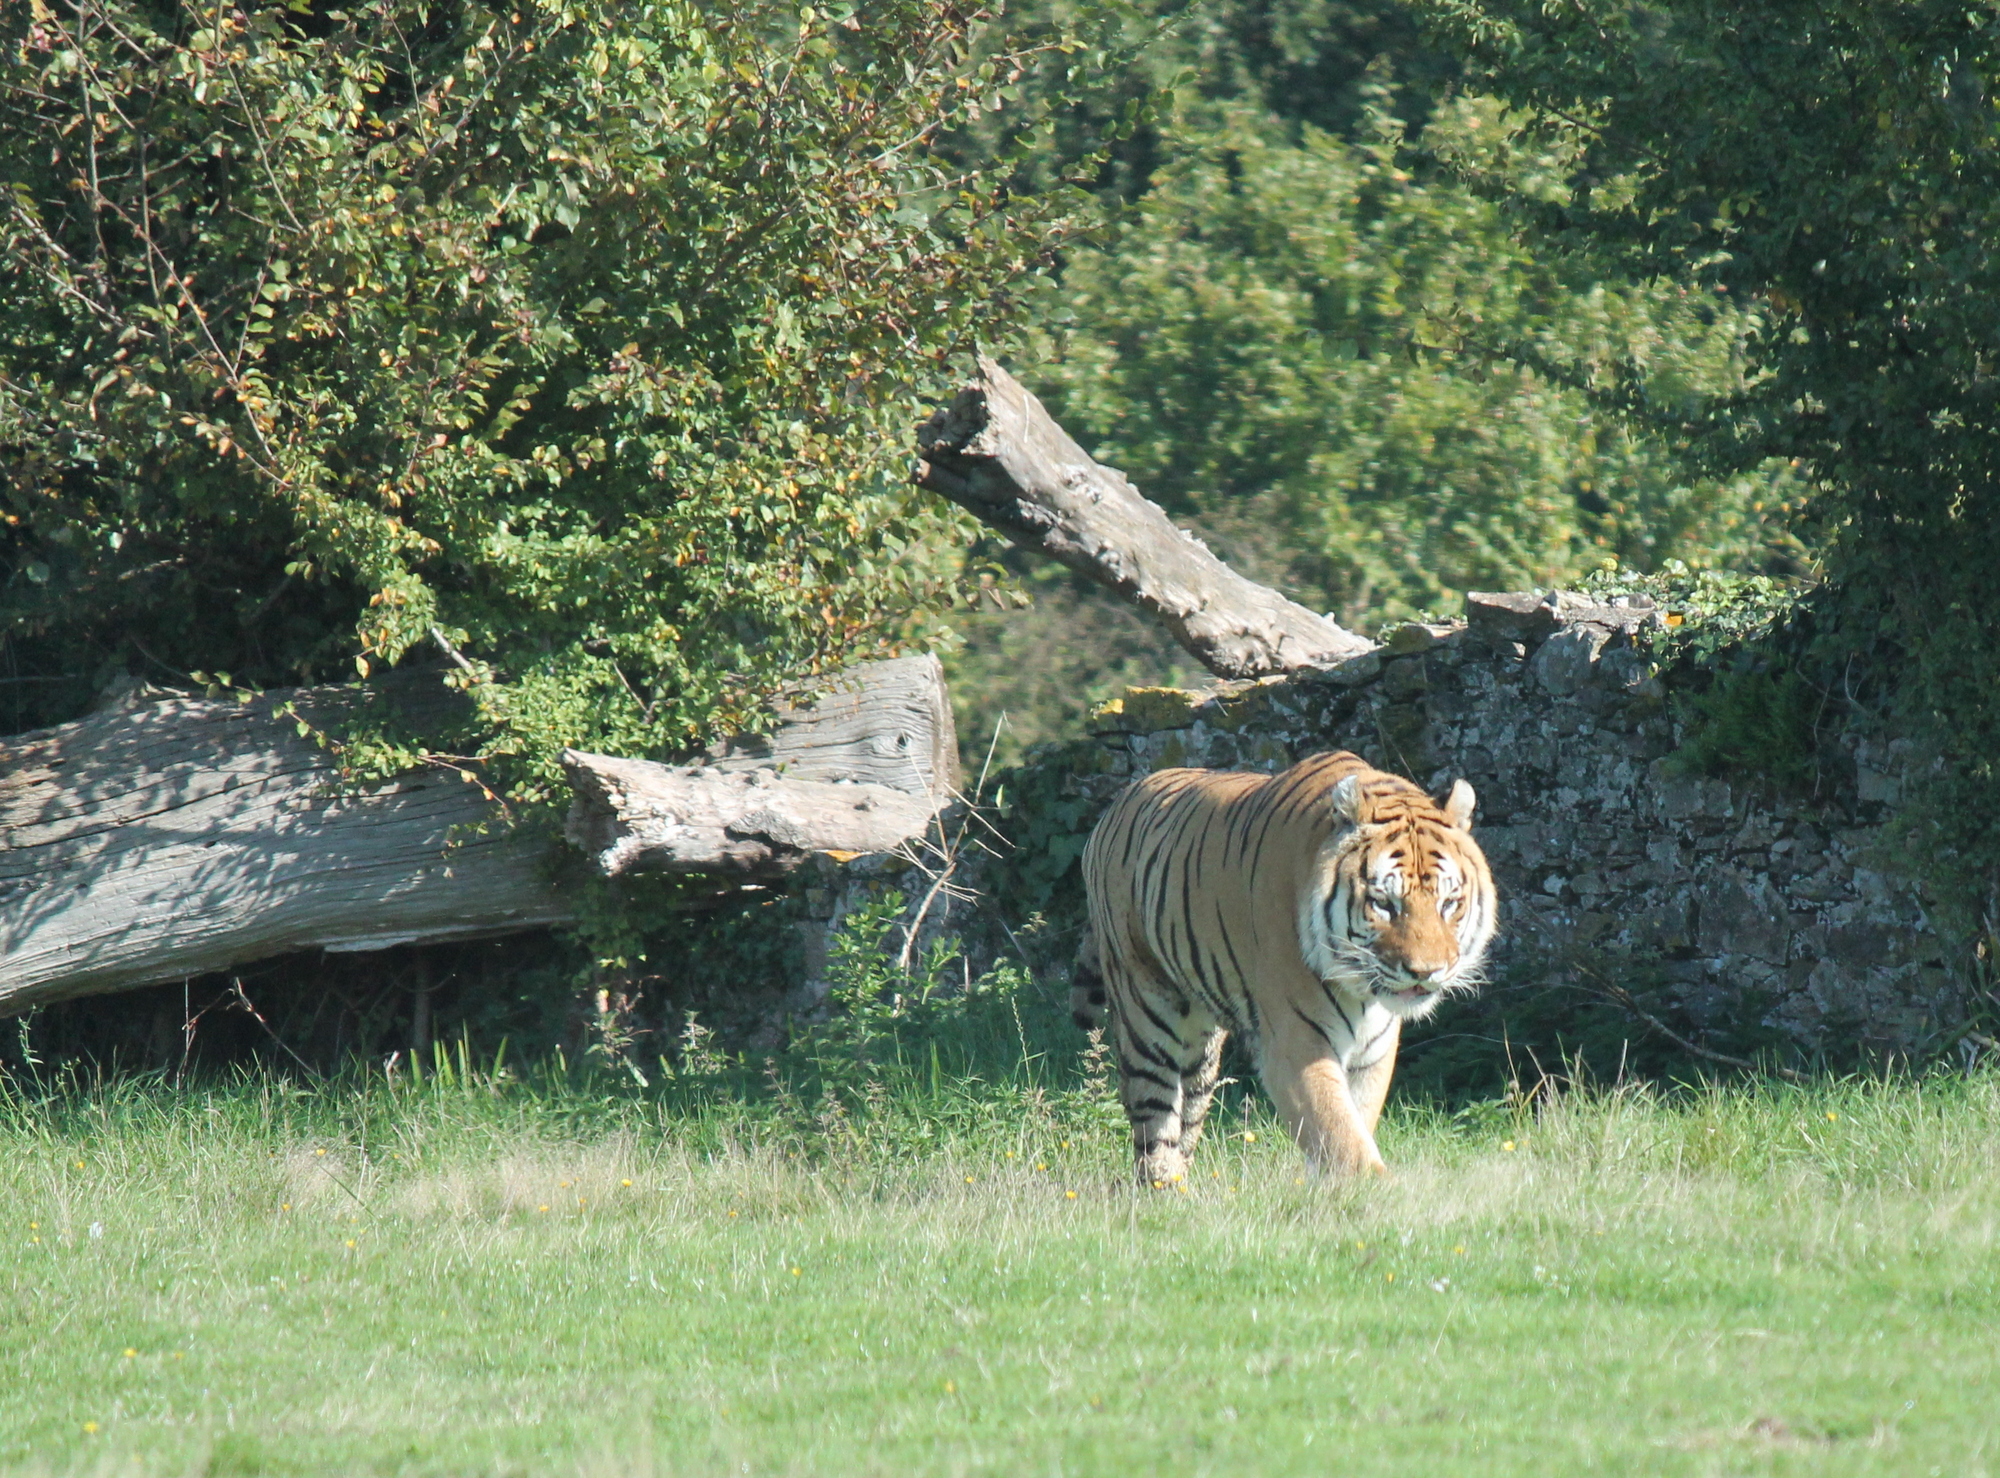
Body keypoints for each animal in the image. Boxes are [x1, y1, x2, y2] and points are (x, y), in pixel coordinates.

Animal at [1072, 744, 1496, 1184]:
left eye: (1448, 903)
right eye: (1383, 903)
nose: (1426, 972)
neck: (1361, 991)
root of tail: (1114, 807)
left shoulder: (1373, 1052)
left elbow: (1354, 1122)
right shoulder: (1297, 1042)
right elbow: (1341, 1134)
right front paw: (1376, 1192)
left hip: (1200, 1046)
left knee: (1186, 1117)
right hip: (1147, 1014)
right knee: (1153, 1118)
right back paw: (1162, 1186)